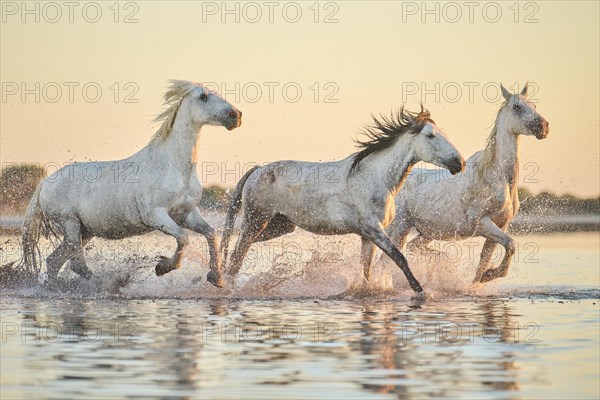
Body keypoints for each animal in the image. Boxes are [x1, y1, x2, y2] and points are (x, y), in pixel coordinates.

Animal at [19, 80, 243, 288]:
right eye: (203, 96)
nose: (236, 115)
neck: (174, 166)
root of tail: (44, 184)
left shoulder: (187, 214)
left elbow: (211, 233)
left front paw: (216, 278)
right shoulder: (156, 215)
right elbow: (183, 237)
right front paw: (162, 267)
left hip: (84, 231)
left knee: (55, 261)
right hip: (70, 225)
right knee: (75, 264)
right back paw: (108, 285)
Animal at [223, 106, 466, 294]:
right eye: (430, 135)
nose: (459, 163)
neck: (376, 177)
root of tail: (257, 170)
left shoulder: (367, 237)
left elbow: (367, 269)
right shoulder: (374, 229)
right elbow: (399, 257)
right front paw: (419, 290)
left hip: (280, 225)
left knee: (238, 251)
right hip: (256, 221)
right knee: (236, 257)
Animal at [386, 84, 552, 282]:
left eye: (534, 105)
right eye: (516, 107)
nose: (543, 127)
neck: (497, 178)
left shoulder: (501, 225)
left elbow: (485, 261)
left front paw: (483, 277)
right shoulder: (482, 223)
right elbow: (511, 245)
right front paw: (491, 274)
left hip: (427, 232)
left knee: (412, 248)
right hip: (400, 227)